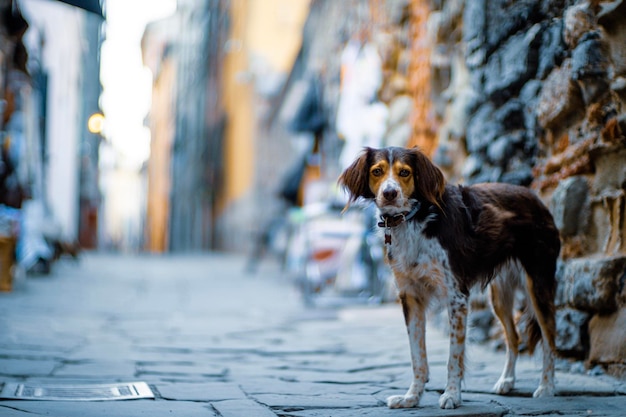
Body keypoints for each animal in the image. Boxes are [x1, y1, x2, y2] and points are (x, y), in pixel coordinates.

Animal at [338, 147, 560, 410]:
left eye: (405, 172)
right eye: (377, 171)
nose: (389, 193)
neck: (414, 219)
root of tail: (535, 196)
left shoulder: (457, 297)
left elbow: (454, 356)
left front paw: (452, 395)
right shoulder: (411, 297)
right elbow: (417, 356)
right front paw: (411, 397)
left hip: (537, 283)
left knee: (550, 337)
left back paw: (546, 387)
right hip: (499, 296)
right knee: (514, 337)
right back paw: (506, 381)